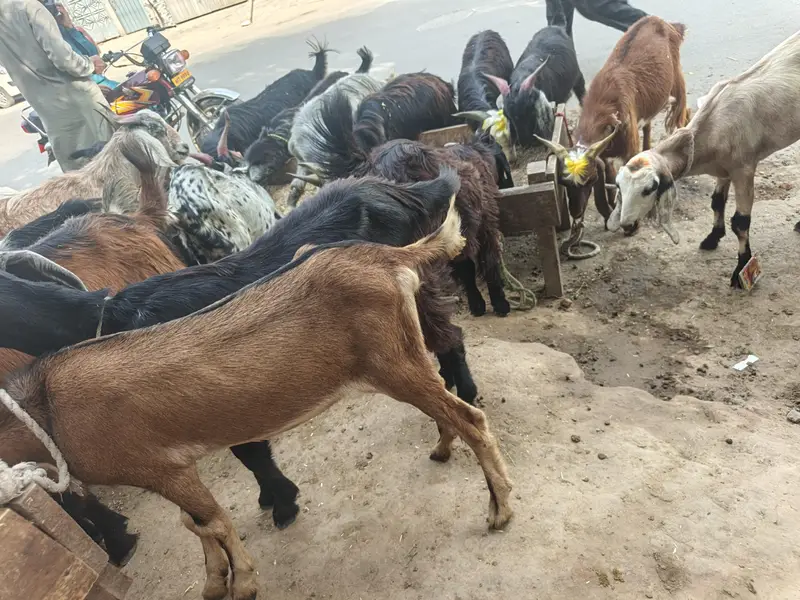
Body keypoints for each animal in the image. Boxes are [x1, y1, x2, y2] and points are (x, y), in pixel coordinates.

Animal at [0, 199, 512, 600]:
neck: (46, 405)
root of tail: (385, 258)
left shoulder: (162, 468)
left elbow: (212, 520)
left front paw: (242, 581)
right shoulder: (172, 471)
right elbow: (193, 523)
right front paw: (214, 582)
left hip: (395, 366)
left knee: (471, 417)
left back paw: (499, 511)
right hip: (404, 359)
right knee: (447, 405)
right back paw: (442, 449)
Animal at [537, 16, 689, 231]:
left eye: (590, 180)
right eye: (564, 183)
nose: (576, 213)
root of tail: (662, 22)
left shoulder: (628, 150)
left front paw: (634, 224)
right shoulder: (605, 153)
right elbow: (610, 177)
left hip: (677, 88)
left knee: (684, 114)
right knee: (648, 125)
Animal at [611, 31, 800, 288]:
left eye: (649, 189)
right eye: (619, 186)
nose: (627, 224)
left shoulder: (744, 168)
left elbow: (740, 222)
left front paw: (741, 269)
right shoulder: (724, 169)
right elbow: (717, 202)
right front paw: (712, 238)